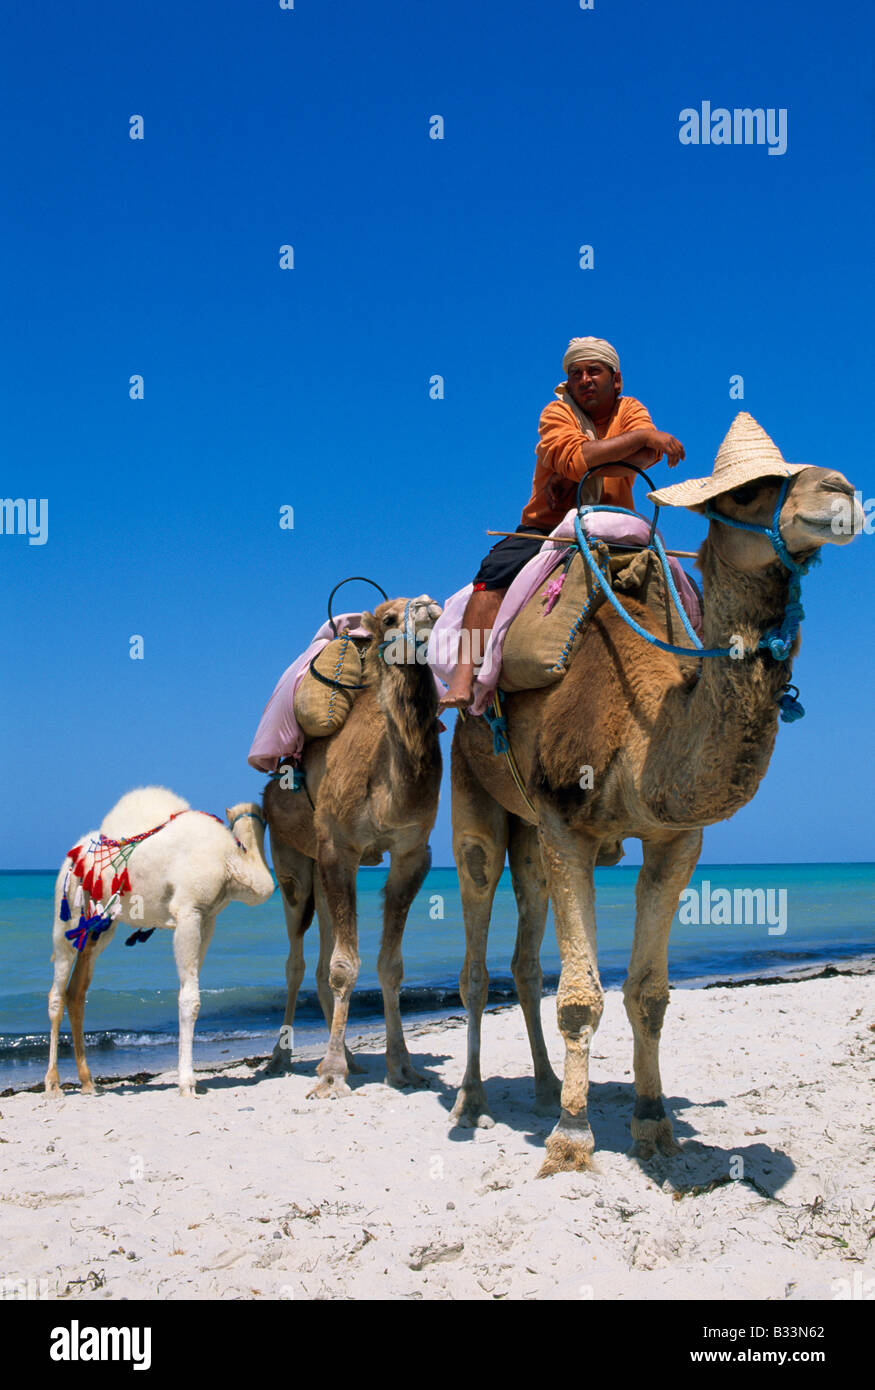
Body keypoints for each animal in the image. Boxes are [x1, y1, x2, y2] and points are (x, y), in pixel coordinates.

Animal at [44, 783, 274, 1095]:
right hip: (66, 910)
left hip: (100, 926)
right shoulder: (188, 911)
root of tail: (73, 853)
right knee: (57, 992)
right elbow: (190, 999)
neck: (229, 859)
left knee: (76, 993)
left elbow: (189, 991)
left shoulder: (208, 918)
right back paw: (53, 1083)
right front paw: (187, 1082)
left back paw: (88, 1082)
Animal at [257, 597, 436, 1095]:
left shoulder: (413, 853)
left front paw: (402, 1067)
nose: (428, 607)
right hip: (292, 859)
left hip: (321, 870)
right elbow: (343, 966)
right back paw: (280, 1059)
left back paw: (353, 1059)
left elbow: (389, 966)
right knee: (296, 960)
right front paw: (331, 1075)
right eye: (390, 618)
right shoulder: (340, 848)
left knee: (318, 962)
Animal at [447, 408, 862, 1173]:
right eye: (746, 492)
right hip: (473, 782)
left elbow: (648, 994)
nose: (842, 489)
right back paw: (470, 1102)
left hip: (528, 831)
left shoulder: (675, 837)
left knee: (523, 951)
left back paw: (544, 1088)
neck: (642, 716)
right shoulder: (567, 822)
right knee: (475, 927)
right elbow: (581, 995)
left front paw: (651, 1124)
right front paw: (572, 1139)